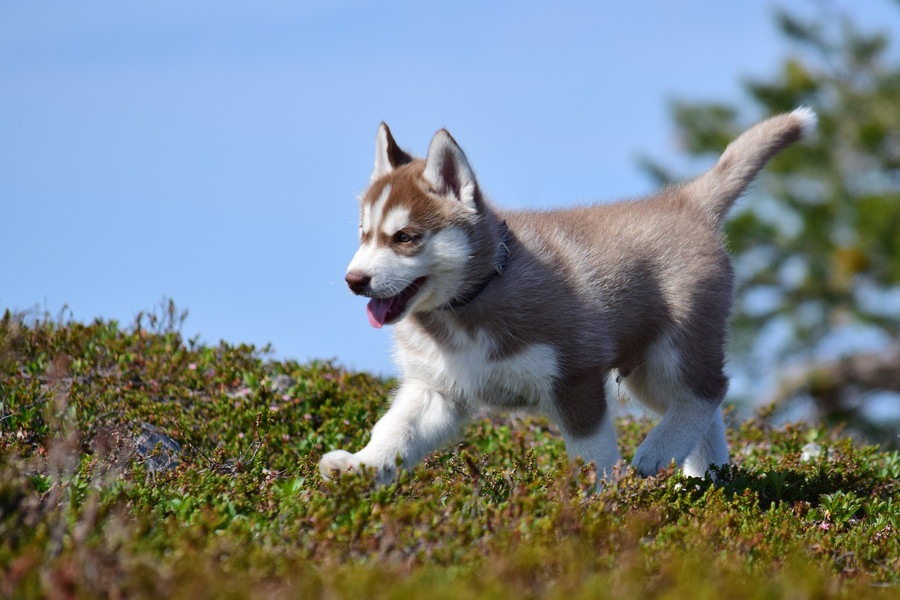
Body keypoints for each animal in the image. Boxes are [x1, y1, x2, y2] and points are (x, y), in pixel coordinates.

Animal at [322, 106, 816, 482]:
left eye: (404, 237)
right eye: (364, 234)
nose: (353, 280)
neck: (470, 301)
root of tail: (684, 200)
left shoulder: (576, 379)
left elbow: (592, 454)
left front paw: (593, 503)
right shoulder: (437, 388)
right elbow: (395, 430)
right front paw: (360, 466)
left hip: (674, 346)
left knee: (707, 391)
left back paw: (659, 452)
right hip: (646, 372)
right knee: (701, 404)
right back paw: (705, 475)